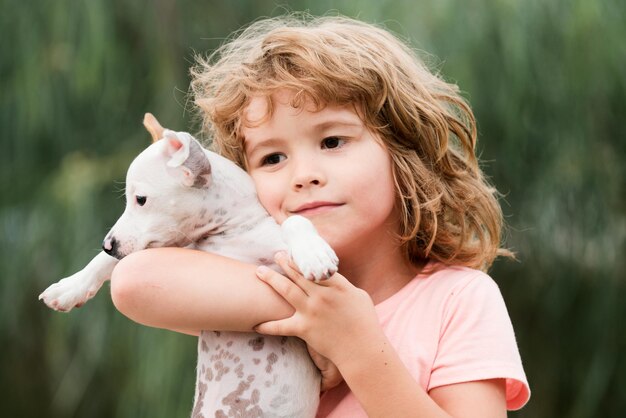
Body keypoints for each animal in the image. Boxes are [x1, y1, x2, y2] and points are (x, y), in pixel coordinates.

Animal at [39, 114, 336, 418]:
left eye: (141, 199)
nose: (107, 244)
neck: (229, 230)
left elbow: (295, 221)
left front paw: (314, 254)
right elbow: (108, 262)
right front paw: (69, 288)